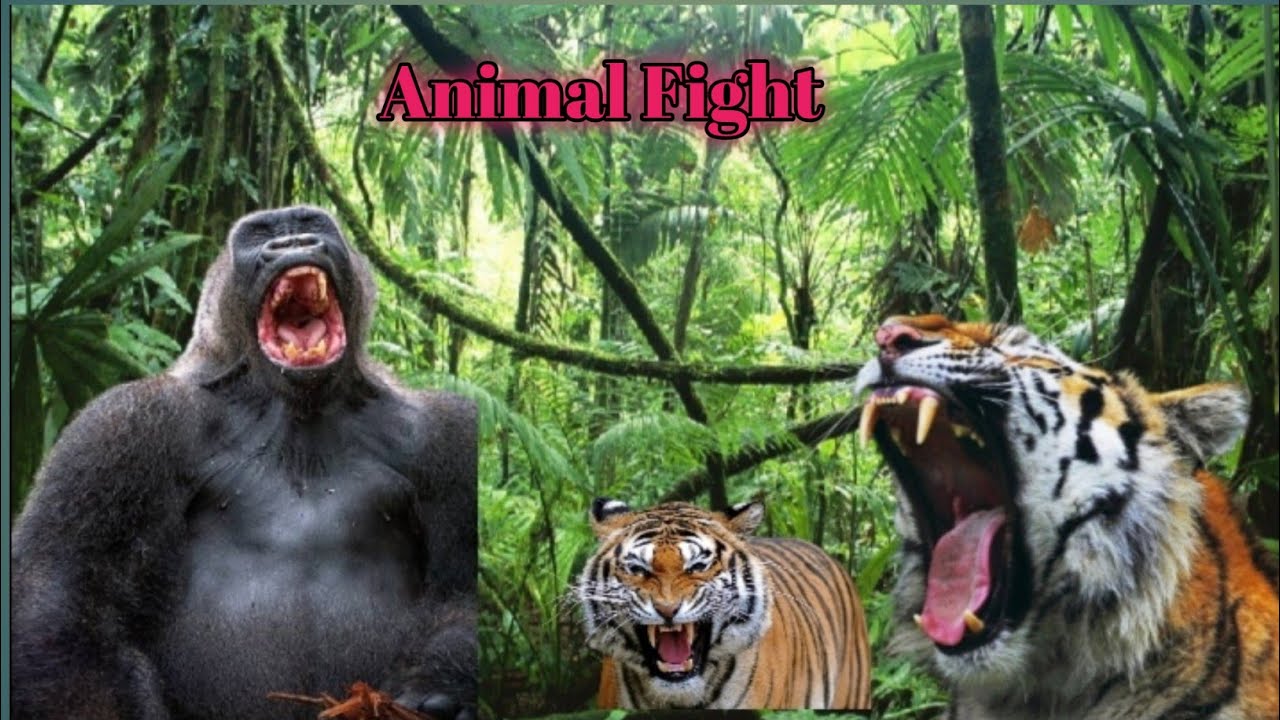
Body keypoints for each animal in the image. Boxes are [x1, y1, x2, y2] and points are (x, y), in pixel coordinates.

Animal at [11, 206, 477, 720]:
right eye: (260, 235)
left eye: (310, 223)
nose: (293, 243)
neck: (293, 404)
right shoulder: (125, 423)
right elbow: (60, 597)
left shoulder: (444, 435)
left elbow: (460, 590)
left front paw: (435, 684)